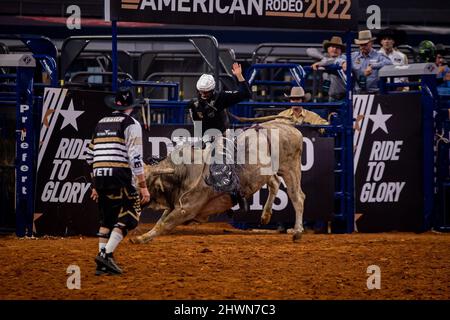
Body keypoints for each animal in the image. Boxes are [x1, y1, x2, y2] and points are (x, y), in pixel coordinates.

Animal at [131, 117, 306, 242]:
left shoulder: (187, 208)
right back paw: (266, 216)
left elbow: (164, 224)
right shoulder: (176, 203)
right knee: (275, 183)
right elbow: (160, 220)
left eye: (143, 183)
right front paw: (142, 236)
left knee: (297, 197)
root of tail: (288, 127)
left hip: (290, 168)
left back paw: (297, 231)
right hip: (268, 172)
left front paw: (142, 238)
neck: (185, 172)